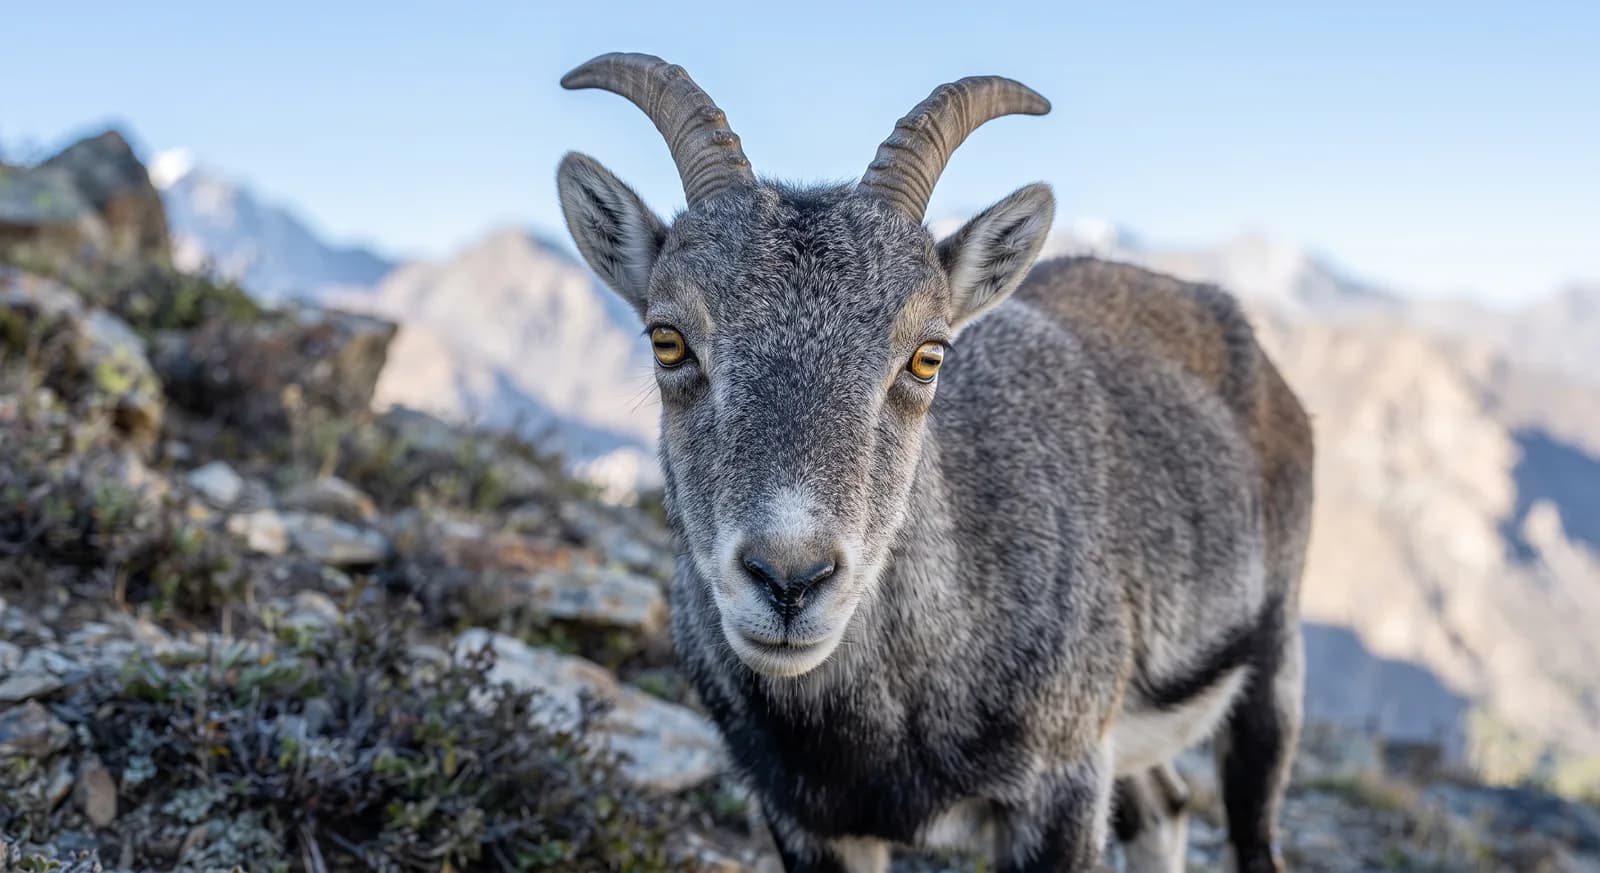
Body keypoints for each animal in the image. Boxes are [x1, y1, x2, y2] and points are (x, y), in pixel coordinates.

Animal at [555, 52, 1313, 873]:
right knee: (1166, 805)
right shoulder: (807, 818)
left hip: (1271, 671)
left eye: (928, 353)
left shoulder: (1062, 786)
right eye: (667, 340)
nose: (790, 581)